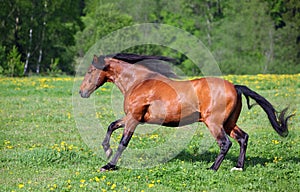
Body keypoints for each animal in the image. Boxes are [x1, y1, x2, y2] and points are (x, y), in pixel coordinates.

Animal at [78, 53, 292, 172]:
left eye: (90, 71)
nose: (82, 92)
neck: (139, 82)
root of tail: (235, 87)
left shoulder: (134, 118)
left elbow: (123, 142)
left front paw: (109, 165)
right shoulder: (133, 117)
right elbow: (111, 125)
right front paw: (106, 149)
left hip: (214, 123)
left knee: (225, 143)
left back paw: (212, 168)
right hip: (229, 123)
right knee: (242, 138)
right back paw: (238, 167)